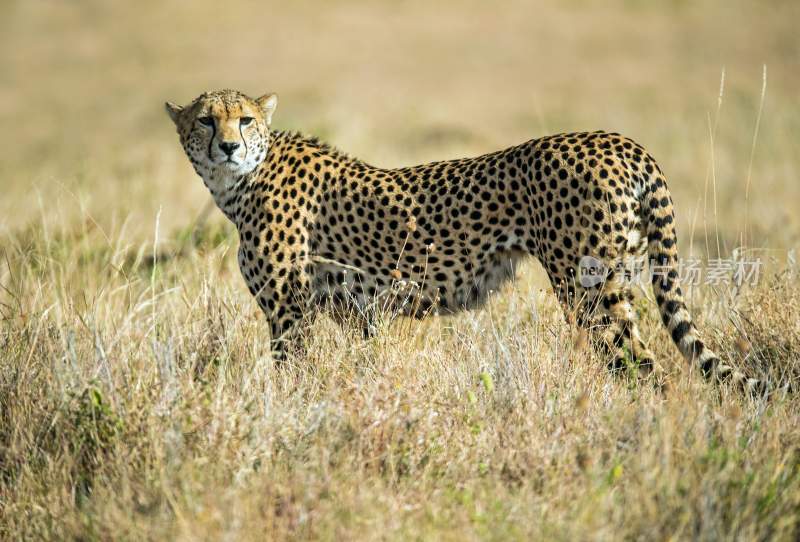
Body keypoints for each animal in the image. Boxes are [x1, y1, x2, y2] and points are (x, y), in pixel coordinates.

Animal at [166, 90, 760, 392]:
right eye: (205, 120)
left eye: (244, 119)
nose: (227, 146)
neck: (241, 182)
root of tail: (618, 140)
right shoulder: (356, 315)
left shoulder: (289, 312)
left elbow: (291, 375)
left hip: (590, 288)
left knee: (643, 366)